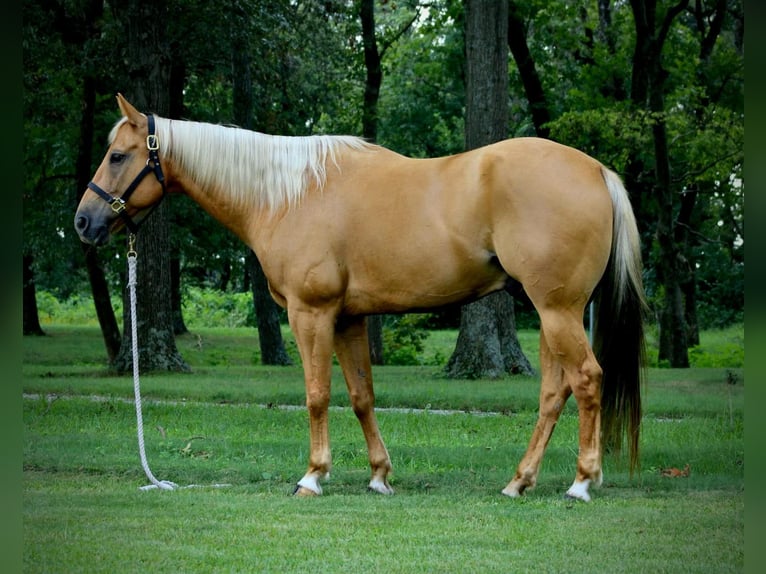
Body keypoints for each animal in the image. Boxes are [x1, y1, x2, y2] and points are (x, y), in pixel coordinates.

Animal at [75, 94, 646, 502]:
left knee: (586, 380)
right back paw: (519, 481)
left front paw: (312, 476)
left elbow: (317, 394)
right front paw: (379, 476)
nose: (83, 221)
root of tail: (596, 170)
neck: (288, 194)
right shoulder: (349, 319)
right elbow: (361, 396)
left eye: (118, 155)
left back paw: (581, 482)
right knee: (554, 392)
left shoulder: (311, 314)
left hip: (558, 312)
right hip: (552, 314)